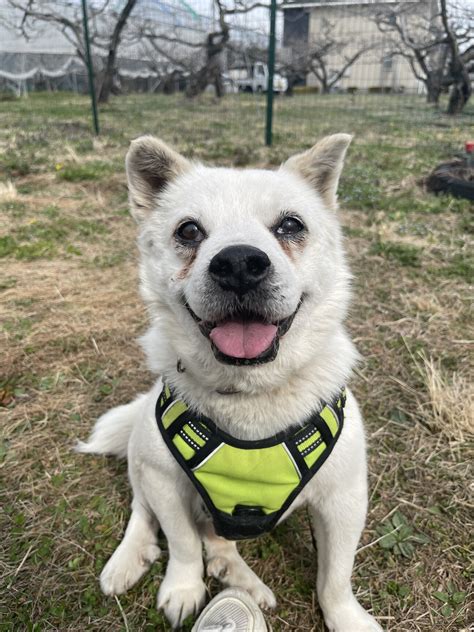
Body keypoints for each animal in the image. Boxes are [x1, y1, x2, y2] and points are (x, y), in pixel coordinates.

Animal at [78, 135, 386, 632]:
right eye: (188, 231)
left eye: (290, 225)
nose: (239, 263)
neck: (249, 394)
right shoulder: (165, 483)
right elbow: (181, 543)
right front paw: (183, 588)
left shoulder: (344, 500)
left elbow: (336, 576)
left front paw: (347, 618)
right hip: (142, 458)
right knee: (144, 513)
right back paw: (131, 558)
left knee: (215, 537)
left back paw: (239, 578)